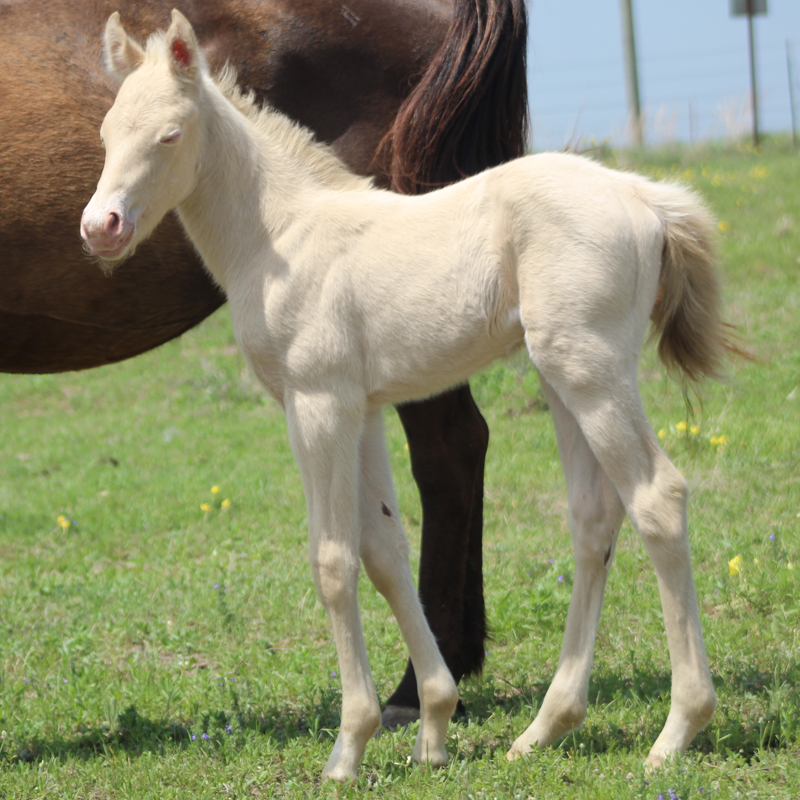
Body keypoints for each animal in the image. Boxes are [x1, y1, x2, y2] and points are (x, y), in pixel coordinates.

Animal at [81, 11, 737, 780]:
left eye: (170, 134)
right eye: (106, 134)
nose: (101, 228)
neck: (282, 237)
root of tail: (645, 198)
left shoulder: (318, 403)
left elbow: (334, 560)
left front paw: (348, 746)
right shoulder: (363, 409)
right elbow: (385, 551)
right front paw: (433, 724)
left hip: (591, 370)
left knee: (657, 499)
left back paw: (676, 732)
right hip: (562, 375)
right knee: (593, 519)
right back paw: (544, 729)